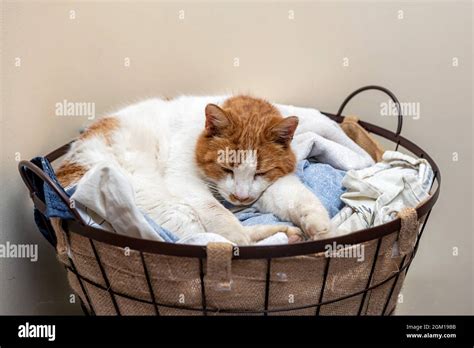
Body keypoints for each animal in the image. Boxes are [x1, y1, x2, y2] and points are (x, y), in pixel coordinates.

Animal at [56, 95, 330, 245]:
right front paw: (234, 231)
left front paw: (322, 228)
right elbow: (219, 214)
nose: (240, 198)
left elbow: (299, 199)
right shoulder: (183, 180)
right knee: (212, 239)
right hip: (164, 203)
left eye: (260, 173)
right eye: (226, 168)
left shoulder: (268, 186)